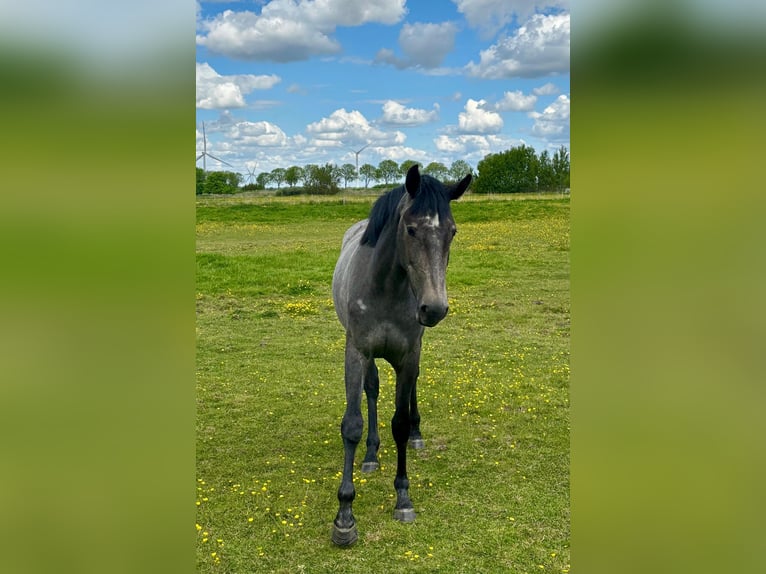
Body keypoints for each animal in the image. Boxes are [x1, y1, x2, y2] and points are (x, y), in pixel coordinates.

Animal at [330, 164, 472, 545]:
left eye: (452, 232)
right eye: (411, 229)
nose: (434, 308)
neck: (386, 287)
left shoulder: (408, 356)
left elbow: (401, 422)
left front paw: (403, 498)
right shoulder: (357, 352)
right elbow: (352, 424)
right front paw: (345, 516)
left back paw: (417, 436)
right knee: (372, 391)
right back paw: (370, 454)